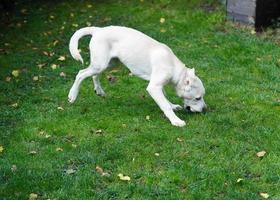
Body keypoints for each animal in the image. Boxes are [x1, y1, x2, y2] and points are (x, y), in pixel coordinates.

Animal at [68, 25, 206, 126]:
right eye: (198, 98)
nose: (205, 110)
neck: (173, 66)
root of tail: (98, 30)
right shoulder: (154, 87)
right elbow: (165, 105)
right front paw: (176, 121)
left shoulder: (158, 86)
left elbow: (165, 98)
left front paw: (173, 106)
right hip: (101, 64)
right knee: (80, 74)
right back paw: (72, 96)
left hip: (109, 64)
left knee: (94, 75)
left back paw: (99, 91)